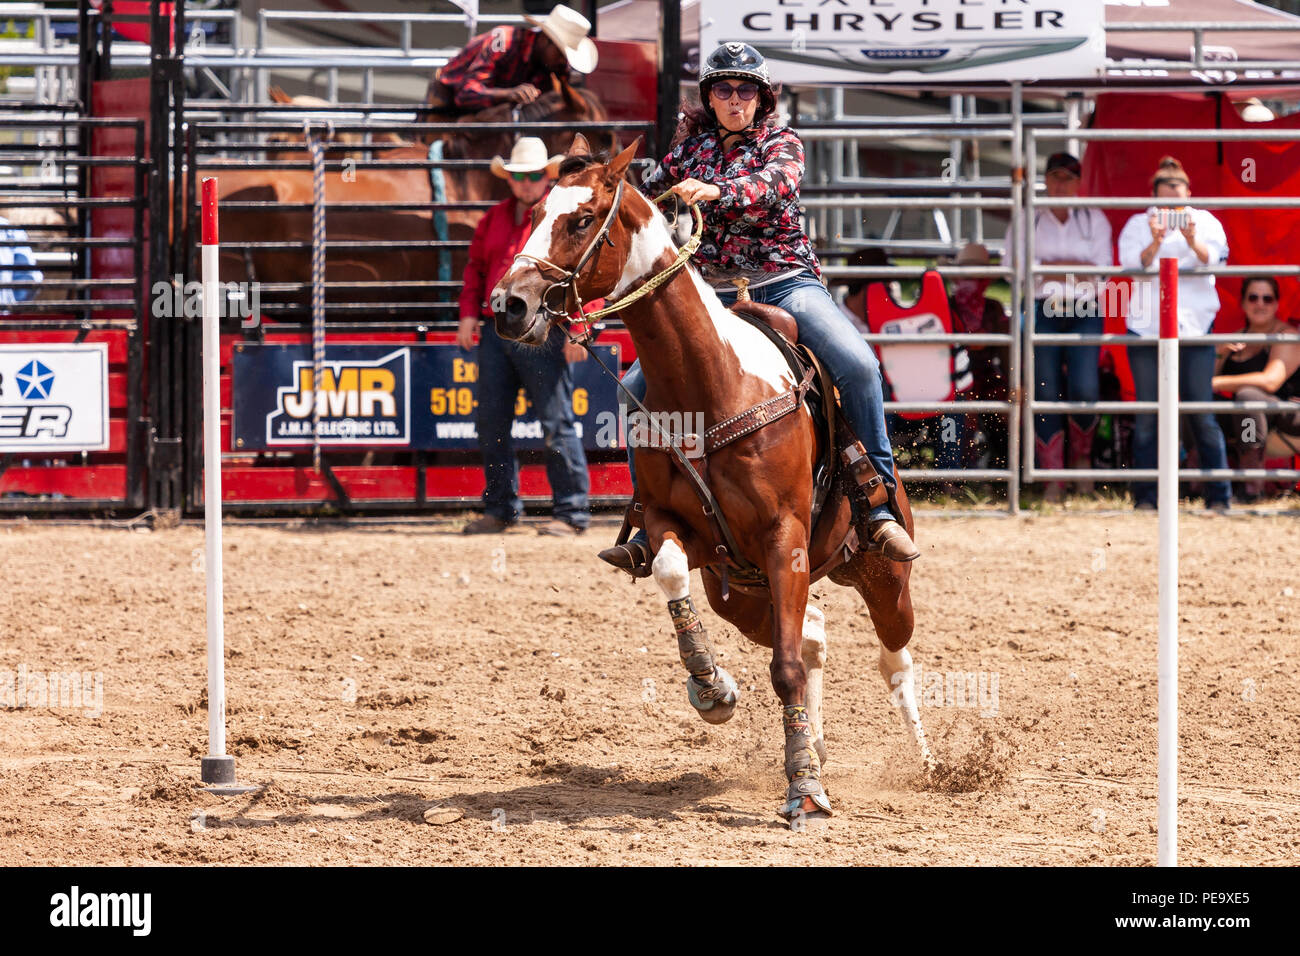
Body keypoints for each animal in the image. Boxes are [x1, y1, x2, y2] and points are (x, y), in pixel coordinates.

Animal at [488, 136, 935, 832]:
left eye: (581, 220)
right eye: (534, 213)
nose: (509, 306)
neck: (711, 381)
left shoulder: (785, 540)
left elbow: (785, 668)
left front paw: (805, 793)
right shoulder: (681, 531)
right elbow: (671, 571)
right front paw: (712, 687)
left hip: (880, 573)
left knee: (893, 657)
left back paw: (927, 763)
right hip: (743, 595)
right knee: (813, 634)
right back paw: (817, 743)